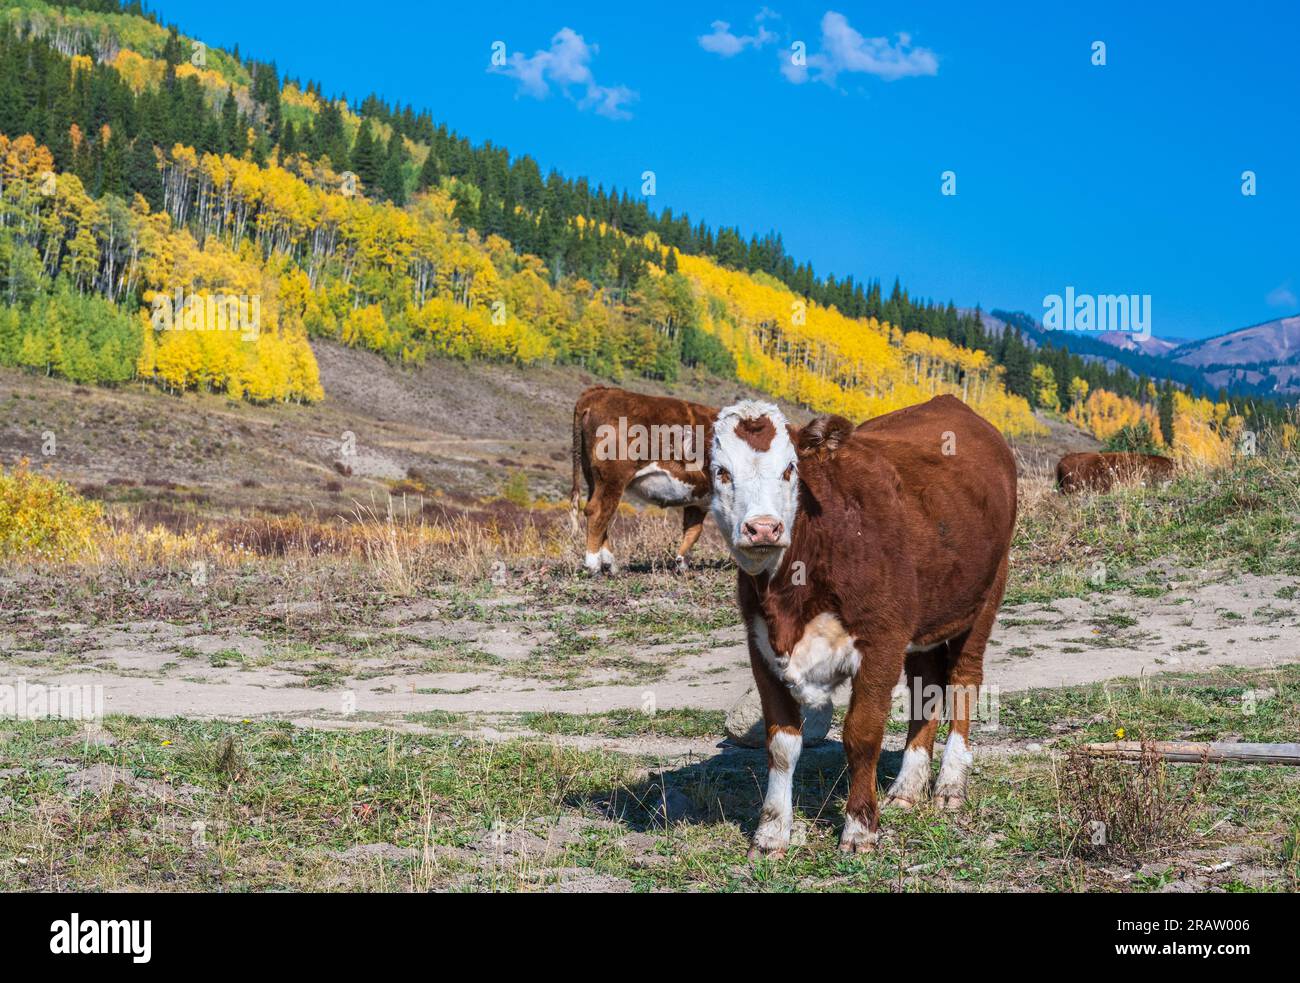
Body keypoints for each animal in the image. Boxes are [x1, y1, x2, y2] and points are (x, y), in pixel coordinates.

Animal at [570, 385, 717, 574]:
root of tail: (599, 392)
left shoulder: (698, 498)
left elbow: (693, 528)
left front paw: (681, 563)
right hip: (613, 478)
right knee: (597, 512)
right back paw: (593, 565)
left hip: (593, 478)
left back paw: (610, 565)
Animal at [708, 395, 1017, 857]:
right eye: (721, 472)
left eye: (790, 469)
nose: (763, 528)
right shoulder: (761, 646)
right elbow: (780, 743)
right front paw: (771, 834)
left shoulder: (881, 641)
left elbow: (862, 735)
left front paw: (859, 828)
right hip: (923, 621)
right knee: (926, 687)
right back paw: (907, 788)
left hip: (984, 595)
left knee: (964, 679)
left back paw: (949, 785)